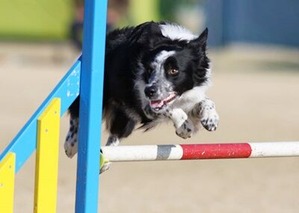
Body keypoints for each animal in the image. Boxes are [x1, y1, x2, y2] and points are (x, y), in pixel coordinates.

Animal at [64, 21, 220, 171]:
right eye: (150, 69)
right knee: (76, 118)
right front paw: (185, 127)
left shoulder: (190, 97)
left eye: (174, 70)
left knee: (115, 134)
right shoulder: (146, 107)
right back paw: (71, 144)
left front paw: (211, 119)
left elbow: (205, 101)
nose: (149, 91)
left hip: (125, 117)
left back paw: (106, 159)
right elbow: (171, 110)